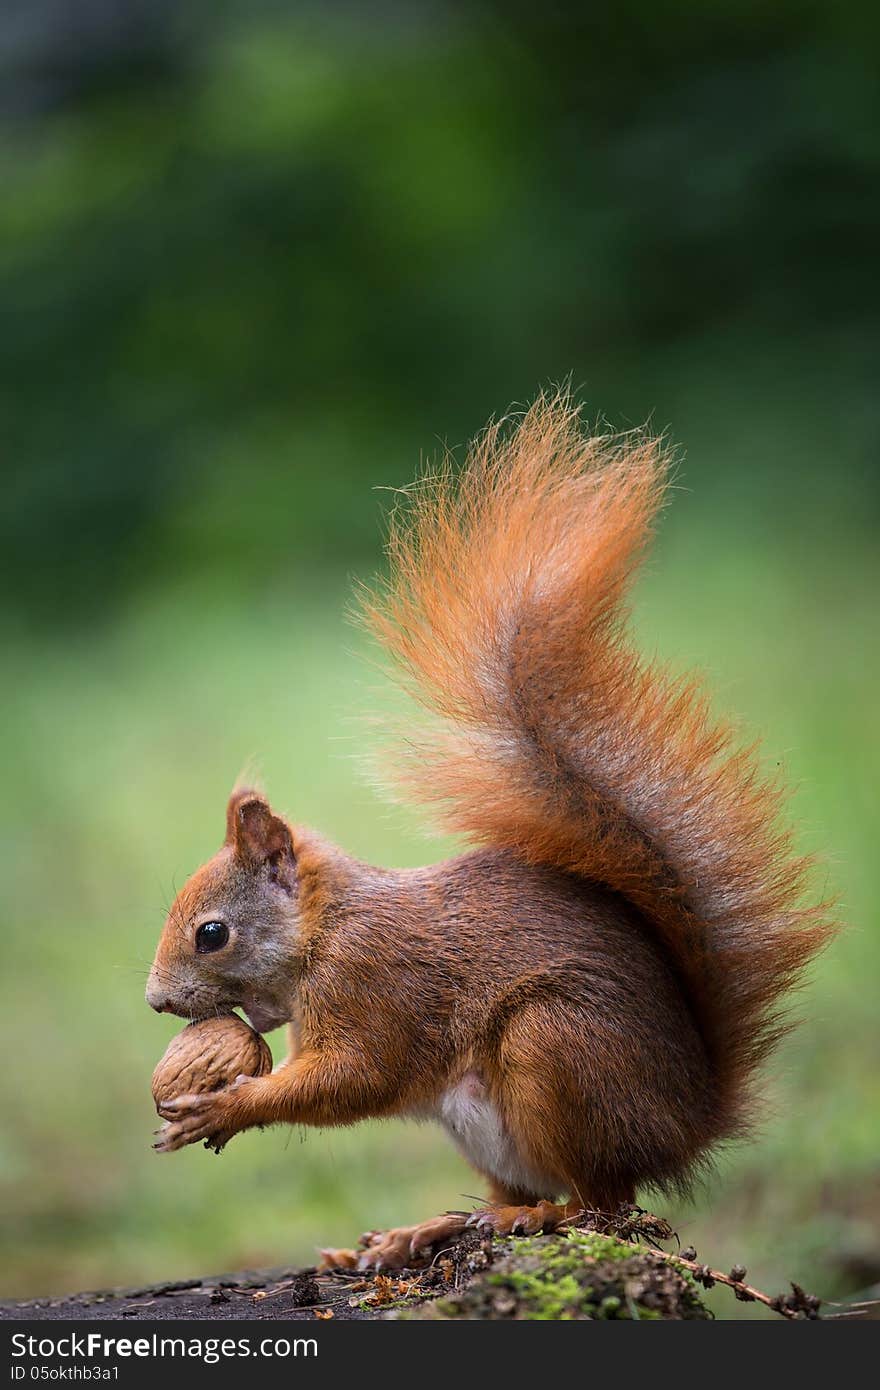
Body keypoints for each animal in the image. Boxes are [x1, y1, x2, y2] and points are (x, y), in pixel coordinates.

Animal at [147, 391, 834, 1273]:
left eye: (212, 934)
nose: (157, 1001)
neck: (326, 929)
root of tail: (687, 1122)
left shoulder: (375, 983)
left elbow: (354, 1078)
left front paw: (226, 1108)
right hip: (488, 1128)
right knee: (534, 1193)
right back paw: (423, 1232)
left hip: (555, 1049)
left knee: (604, 1202)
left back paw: (535, 1218)